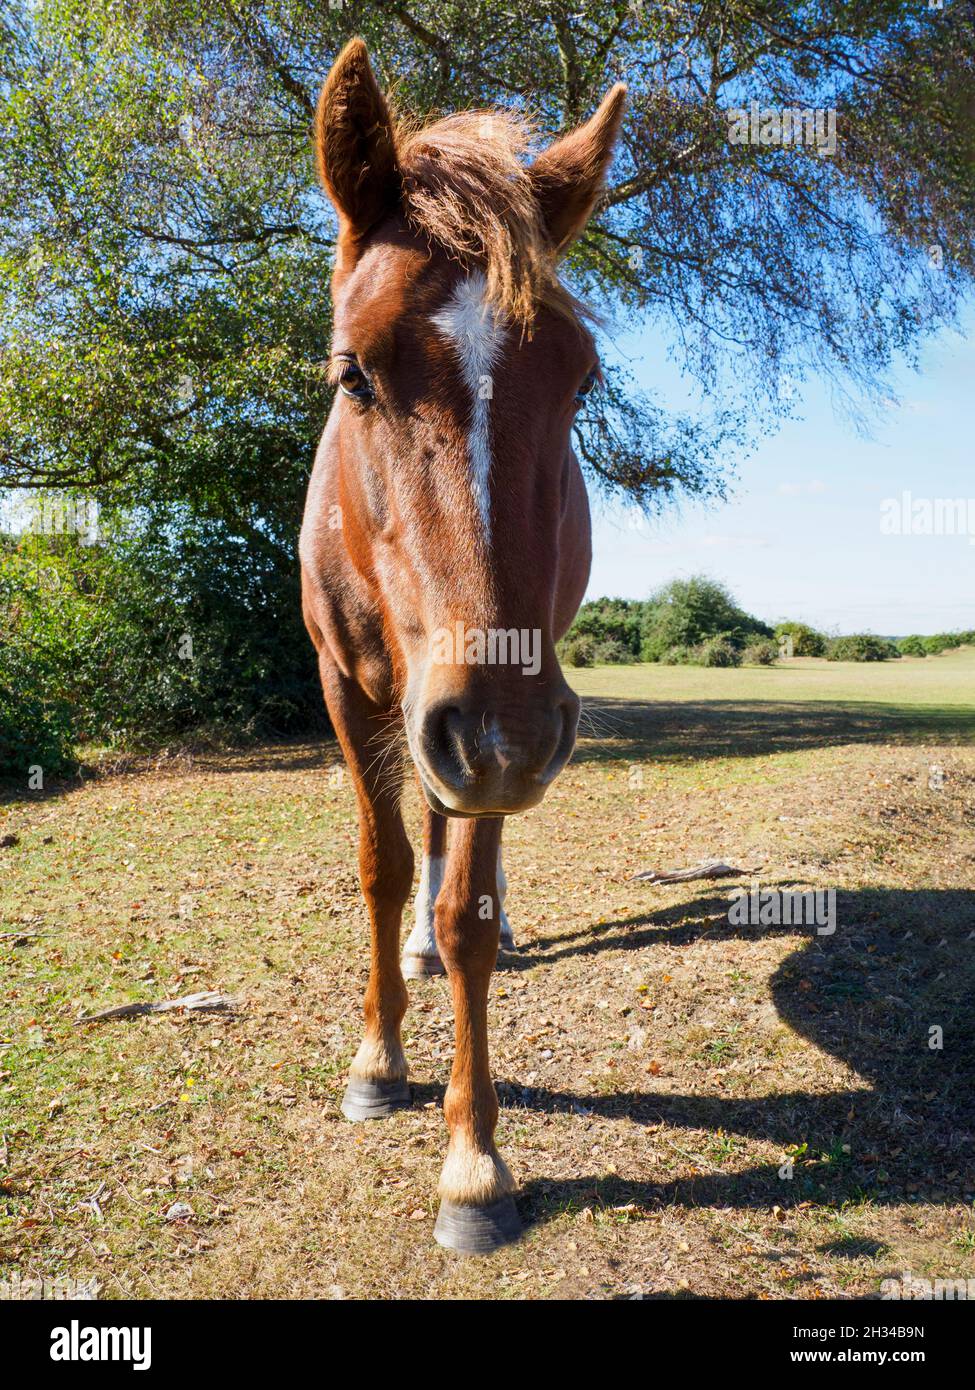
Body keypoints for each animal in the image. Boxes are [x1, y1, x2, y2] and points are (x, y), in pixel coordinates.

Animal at [299, 40, 623, 1262]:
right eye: (353, 372)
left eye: (579, 379)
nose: (503, 733)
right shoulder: (351, 691)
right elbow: (384, 866)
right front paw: (377, 1061)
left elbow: (466, 912)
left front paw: (475, 1165)